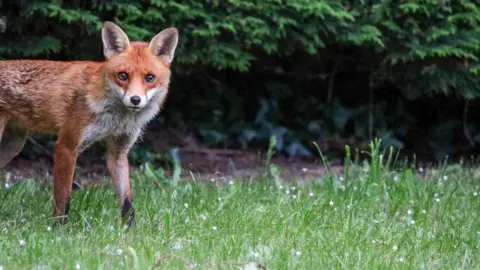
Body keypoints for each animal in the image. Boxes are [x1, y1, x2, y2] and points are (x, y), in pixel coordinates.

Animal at [0, 21, 179, 228]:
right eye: (123, 76)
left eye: (150, 78)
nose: (135, 100)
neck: (115, 119)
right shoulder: (66, 146)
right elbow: (63, 199)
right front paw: (60, 230)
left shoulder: (118, 152)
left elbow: (127, 202)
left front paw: (131, 231)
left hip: (13, 145)